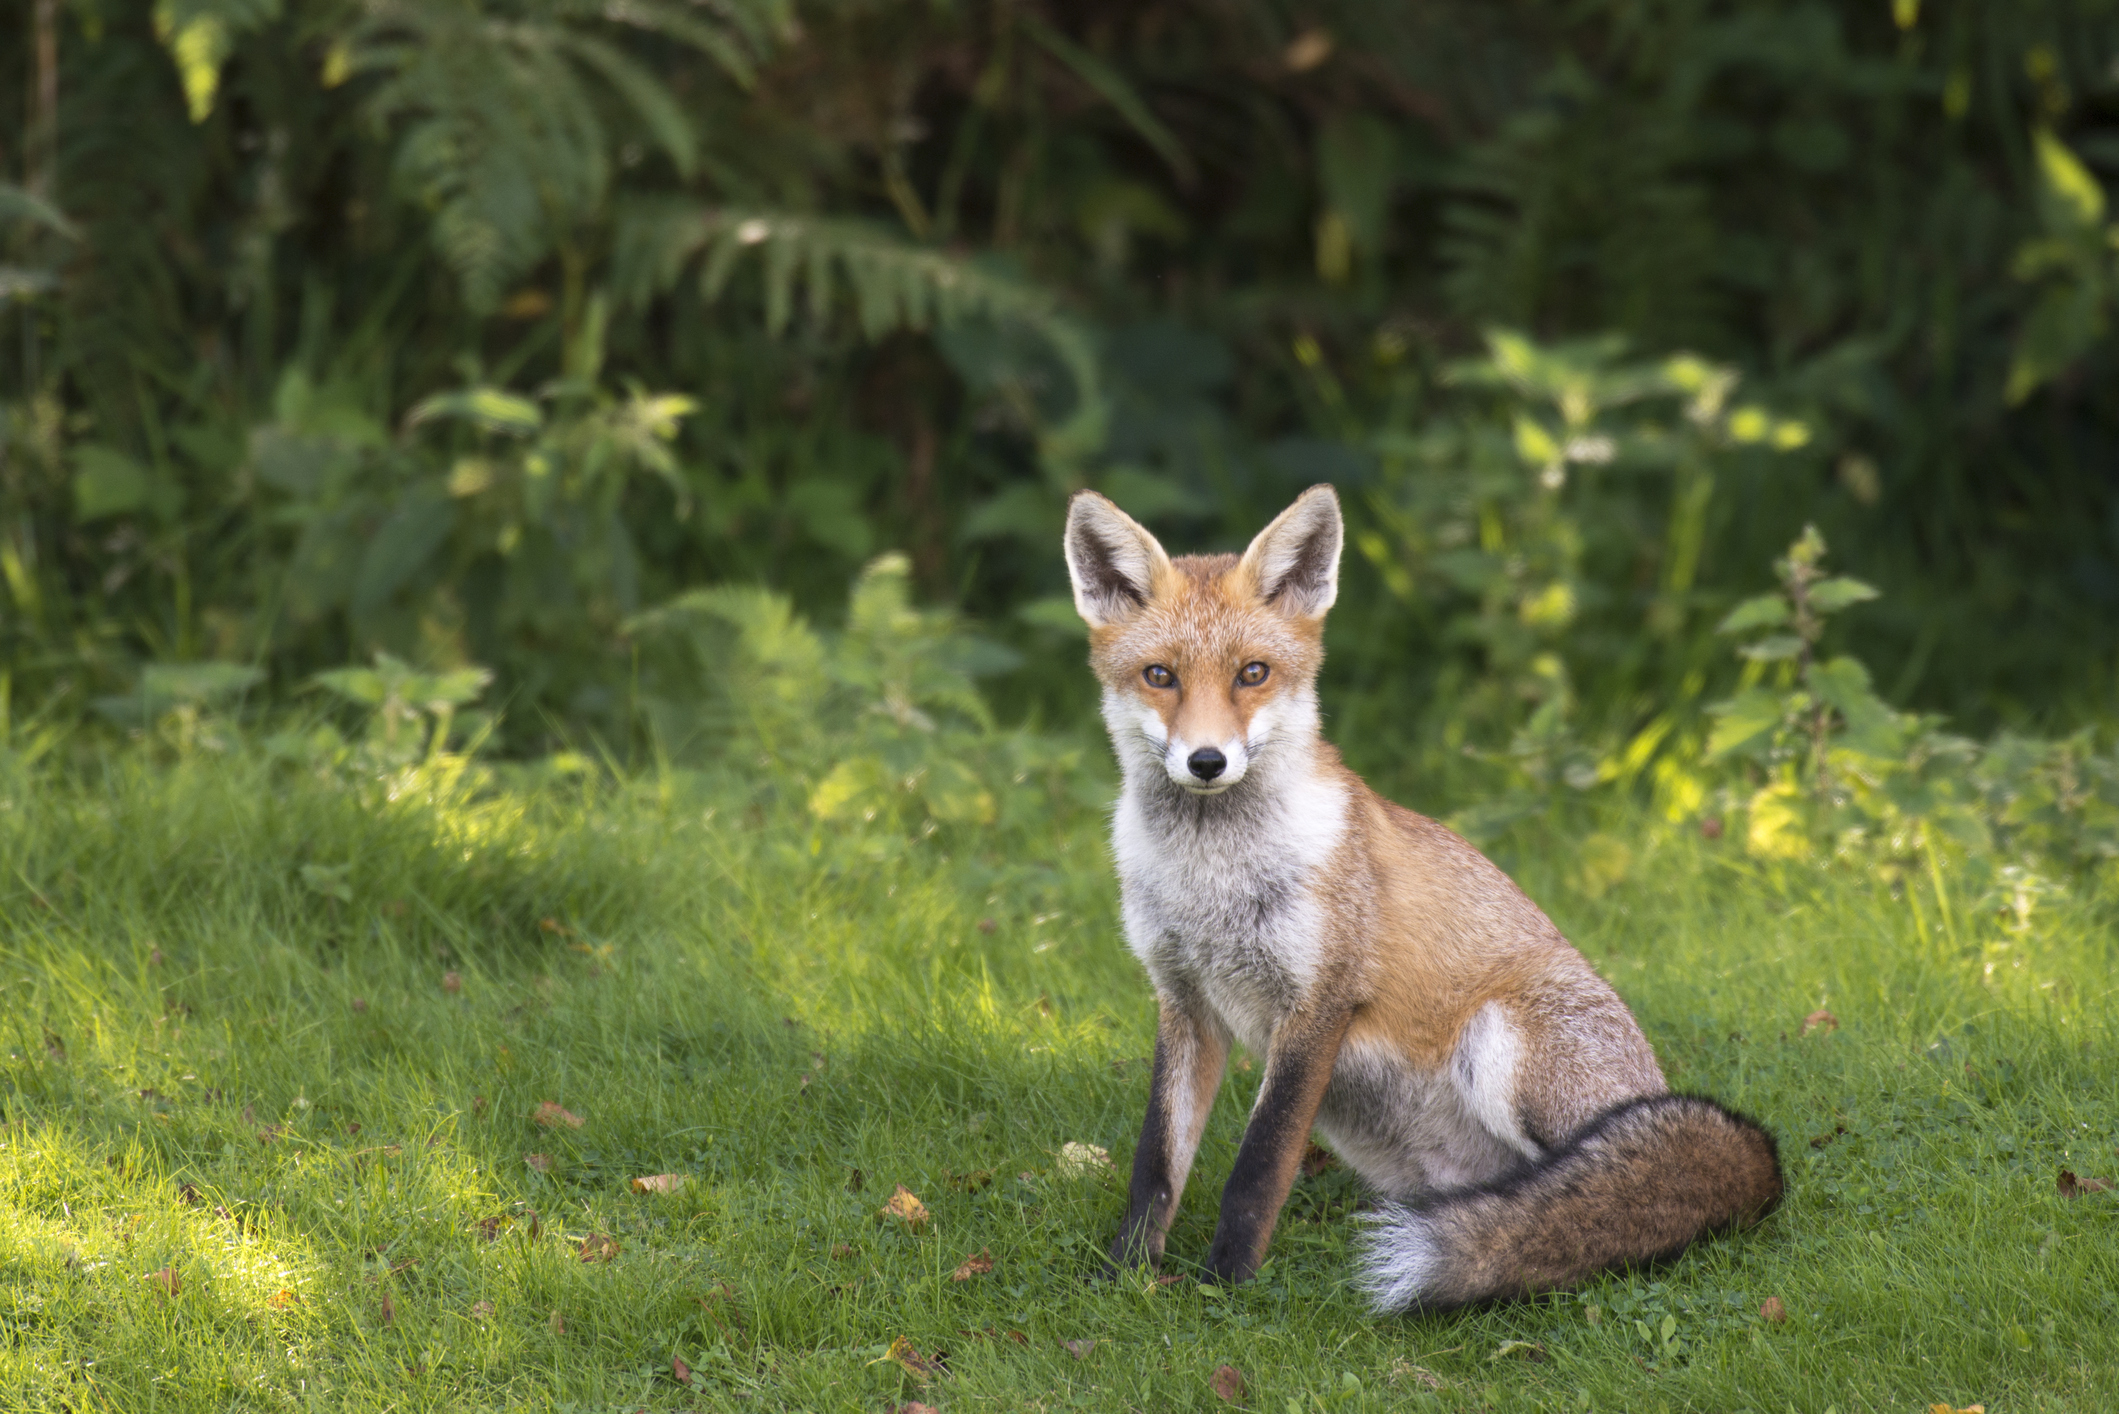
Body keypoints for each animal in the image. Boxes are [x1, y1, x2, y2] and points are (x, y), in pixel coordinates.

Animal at [1063, 483, 1782, 1311]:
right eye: (1159, 676)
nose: (1206, 761)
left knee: (1602, 1186)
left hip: (1503, 1041)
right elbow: (1154, 1165)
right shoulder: (1184, 1002)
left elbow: (1256, 1168)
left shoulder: (1318, 1002)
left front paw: (1226, 1285)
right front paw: (1124, 1275)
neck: (1210, 879)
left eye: (1252, 673)